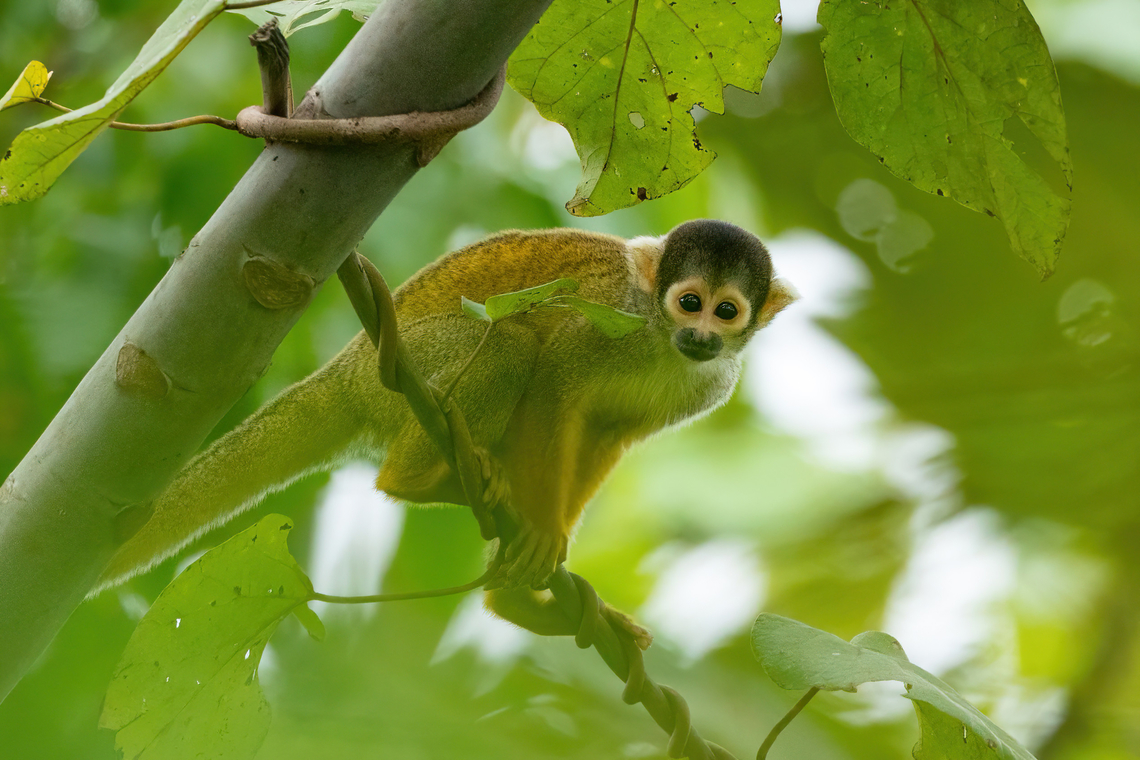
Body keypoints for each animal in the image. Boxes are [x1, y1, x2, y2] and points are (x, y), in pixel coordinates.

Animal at [93, 219, 796, 648]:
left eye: (726, 310)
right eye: (689, 301)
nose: (701, 334)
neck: (658, 336)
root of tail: (346, 373)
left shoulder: (708, 386)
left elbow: (605, 435)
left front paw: (533, 584)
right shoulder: (605, 323)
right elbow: (553, 388)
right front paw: (543, 533)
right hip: (412, 367)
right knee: (510, 344)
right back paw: (416, 481)